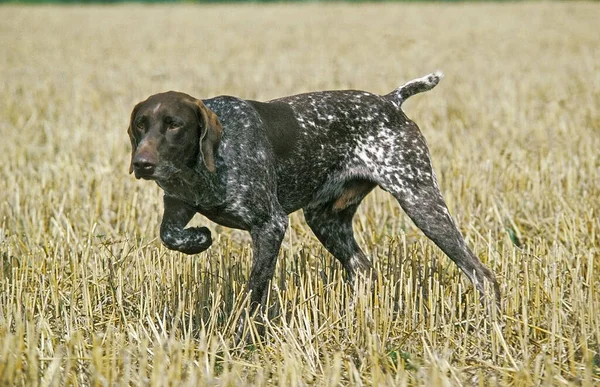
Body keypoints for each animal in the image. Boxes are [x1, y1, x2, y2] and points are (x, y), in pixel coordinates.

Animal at [129, 72, 500, 328]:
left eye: (174, 125)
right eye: (140, 125)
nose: (142, 164)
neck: (204, 168)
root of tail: (389, 101)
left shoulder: (270, 225)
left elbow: (255, 290)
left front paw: (242, 333)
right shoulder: (177, 203)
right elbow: (169, 234)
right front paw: (197, 240)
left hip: (420, 199)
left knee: (481, 274)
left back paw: (489, 324)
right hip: (325, 219)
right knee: (363, 270)